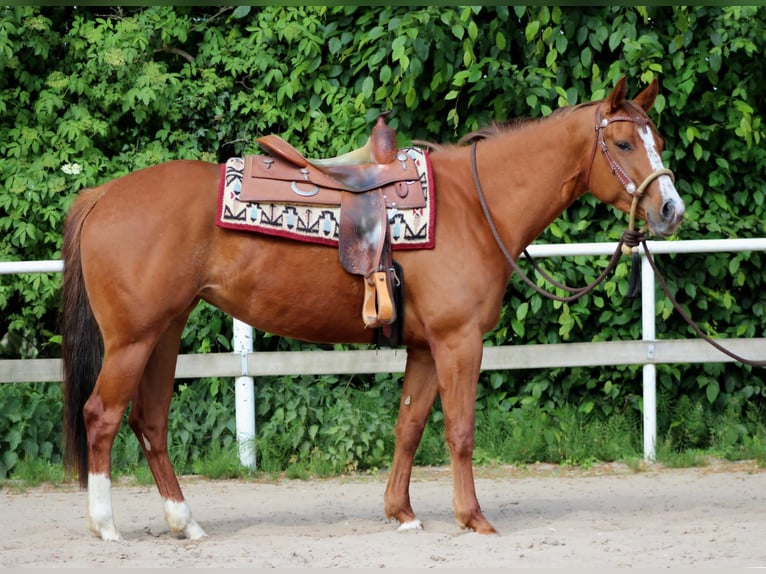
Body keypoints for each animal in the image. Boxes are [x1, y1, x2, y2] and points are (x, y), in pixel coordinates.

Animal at [61, 77, 685, 540]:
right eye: (624, 144)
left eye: (656, 138)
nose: (671, 210)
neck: (473, 206)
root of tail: (103, 195)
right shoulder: (459, 341)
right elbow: (460, 429)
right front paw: (473, 517)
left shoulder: (427, 347)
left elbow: (408, 426)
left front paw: (401, 512)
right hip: (132, 340)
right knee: (102, 416)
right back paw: (105, 525)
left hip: (164, 333)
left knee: (150, 422)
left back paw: (183, 522)